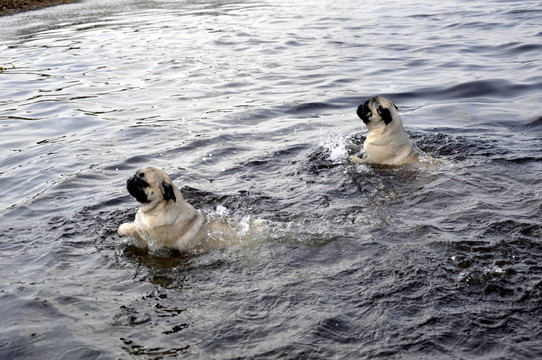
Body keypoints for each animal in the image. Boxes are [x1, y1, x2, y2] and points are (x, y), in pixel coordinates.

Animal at [118, 167, 252, 252]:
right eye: (135, 175)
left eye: (143, 182)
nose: (131, 178)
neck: (158, 207)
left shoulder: (151, 239)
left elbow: (132, 228)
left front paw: (122, 230)